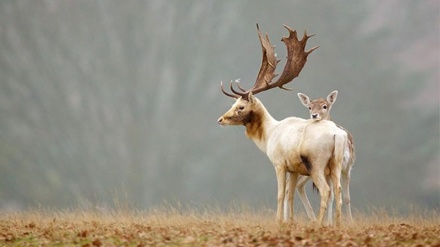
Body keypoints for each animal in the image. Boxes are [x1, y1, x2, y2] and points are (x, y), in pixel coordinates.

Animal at [286, 90, 354, 222]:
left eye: (324, 106)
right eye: (309, 107)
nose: (314, 115)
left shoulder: (348, 166)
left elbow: (346, 197)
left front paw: (350, 222)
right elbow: (332, 195)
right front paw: (329, 222)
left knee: (297, 185)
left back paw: (311, 219)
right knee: (291, 186)